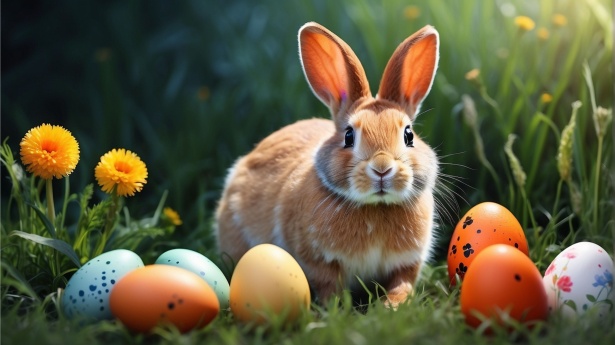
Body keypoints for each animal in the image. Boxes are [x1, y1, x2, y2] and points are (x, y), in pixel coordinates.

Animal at [214, 21, 440, 306]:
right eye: (349, 136)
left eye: (409, 135)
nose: (382, 169)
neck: (375, 206)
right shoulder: (317, 261)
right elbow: (328, 286)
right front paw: (338, 309)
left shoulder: (407, 263)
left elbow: (403, 284)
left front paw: (392, 306)